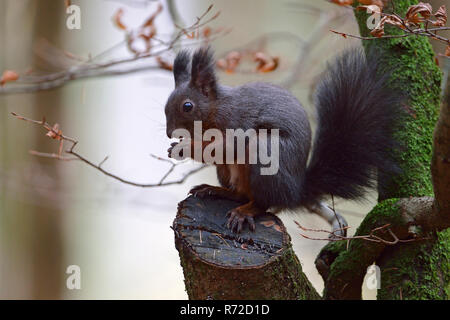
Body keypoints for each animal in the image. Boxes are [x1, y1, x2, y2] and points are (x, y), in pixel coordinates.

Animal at [163, 46, 402, 232]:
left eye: (187, 106)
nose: (169, 133)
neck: (215, 109)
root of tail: (295, 191)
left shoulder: (236, 123)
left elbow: (226, 148)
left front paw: (184, 148)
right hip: (227, 172)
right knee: (240, 193)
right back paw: (216, 190)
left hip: (264, 153)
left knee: (264, 203)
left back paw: (245, 212)